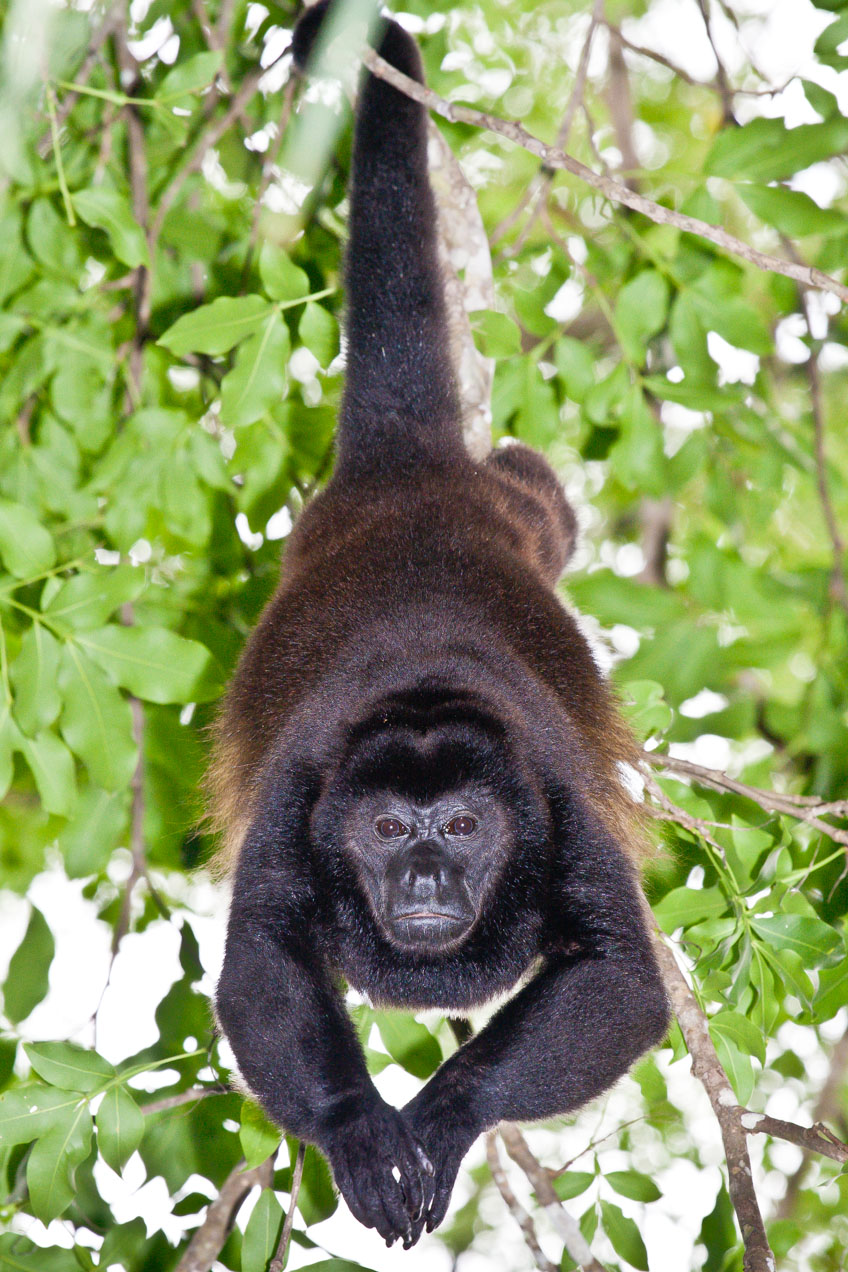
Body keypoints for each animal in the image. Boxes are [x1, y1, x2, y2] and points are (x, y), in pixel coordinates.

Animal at [211, 0, 670, 1249]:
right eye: (384, 831)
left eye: (461, 828)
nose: (421, 886)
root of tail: (407, 476)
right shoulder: (305, 786)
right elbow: (260, 963)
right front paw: (363, 1131)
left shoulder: (549, 788)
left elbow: (621, 984)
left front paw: (441, 1115)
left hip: (509, 517)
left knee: (539, 495)